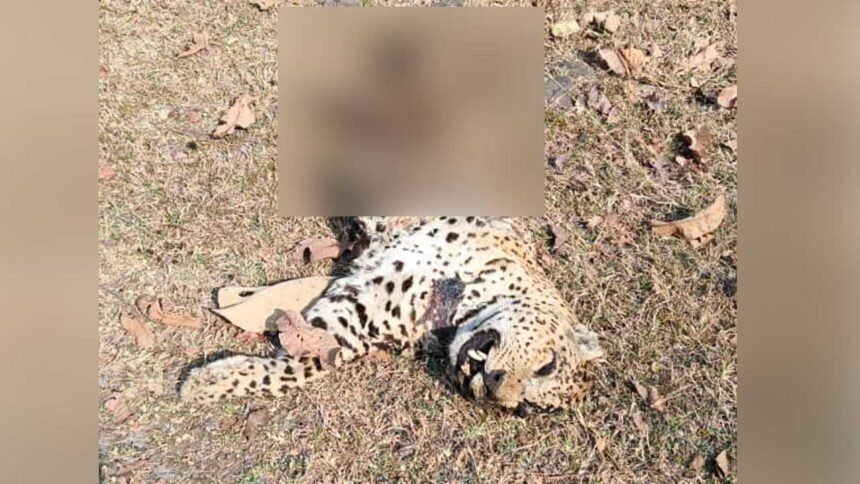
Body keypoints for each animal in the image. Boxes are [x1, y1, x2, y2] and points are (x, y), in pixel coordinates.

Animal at [179, 216, 604, 415]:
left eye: (526, 409)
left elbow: (295, 368)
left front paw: (207, 382)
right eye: (547, 365)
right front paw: (200, 384)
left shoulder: (352, 317)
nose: (494, 395)